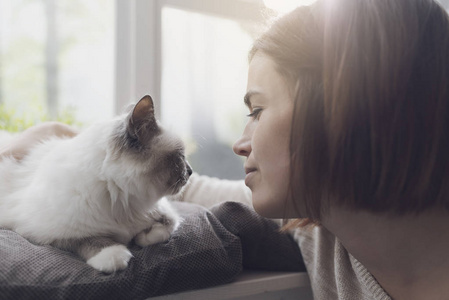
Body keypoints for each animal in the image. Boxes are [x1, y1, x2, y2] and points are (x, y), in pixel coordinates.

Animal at [0, 95, 191, 274]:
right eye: (180, 156)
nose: (190, 171)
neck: (123, 200)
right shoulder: (47, 231)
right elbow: (89, 239)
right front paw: (114, 257)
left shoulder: (161, 209)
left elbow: (168, 225)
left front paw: (142, 237)